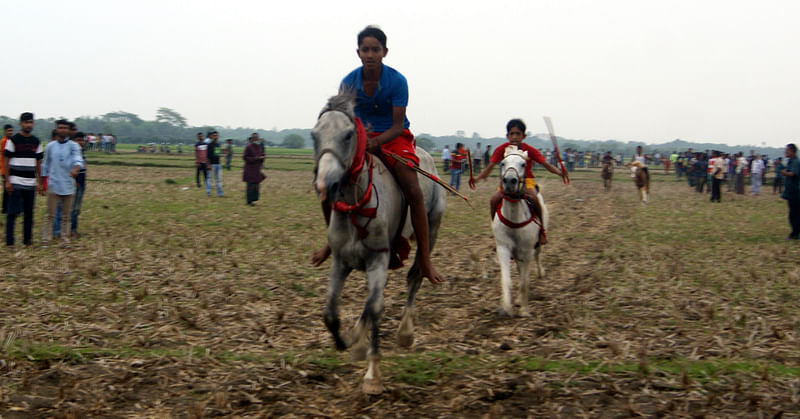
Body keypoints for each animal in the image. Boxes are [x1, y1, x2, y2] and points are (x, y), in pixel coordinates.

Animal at [310, 93, 446, 396]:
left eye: (348, 135)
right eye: (314, 135)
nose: (325, 185)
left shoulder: (378, 259)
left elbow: (375, 310)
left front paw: (373, 375)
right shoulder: (341, 261)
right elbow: (330, 314)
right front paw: (347, 341)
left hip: (430, 227)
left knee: (415, 276)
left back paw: (405, 331)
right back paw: (358, 339)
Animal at [490, 147, 548, 316]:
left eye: (523, 164)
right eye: (503, 163)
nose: (510, 181)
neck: (514, 218)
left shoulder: (527, 250)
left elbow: (524, 281)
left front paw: (524, 309)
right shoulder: (503, 248)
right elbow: (507, 280)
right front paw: (506, 307)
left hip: (537, 245)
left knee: (538, 256)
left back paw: (540, 273)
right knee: (518, 266)